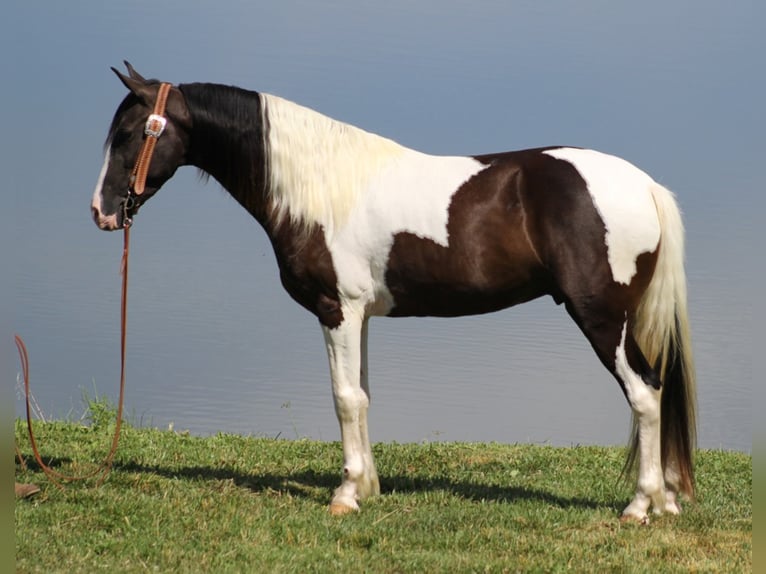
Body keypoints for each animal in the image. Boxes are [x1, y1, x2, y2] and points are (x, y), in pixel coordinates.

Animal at [91, 64, 696, 528]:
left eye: (130, 134)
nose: (101, 212)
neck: (318, 189)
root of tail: (643, 184)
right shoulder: (360, 316)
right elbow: (362, 396)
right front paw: (366, 488)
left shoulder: (336, 310)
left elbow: (343, 399)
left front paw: (345, 496)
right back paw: (665, 503)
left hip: (602, 318)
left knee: (645, 394)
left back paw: (640, 506)